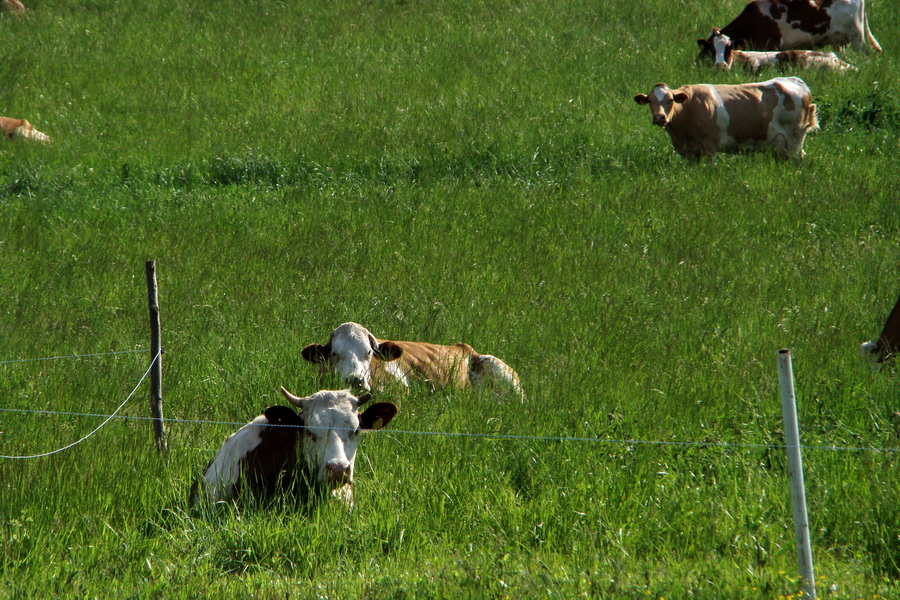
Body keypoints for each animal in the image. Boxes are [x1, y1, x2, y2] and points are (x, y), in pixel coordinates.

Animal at [632, 78, 824, 161]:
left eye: (671, 100)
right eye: (650, 101)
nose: (659, 117)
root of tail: (796, 81)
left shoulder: (710, 146)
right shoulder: (688, 151)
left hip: (794, 139)